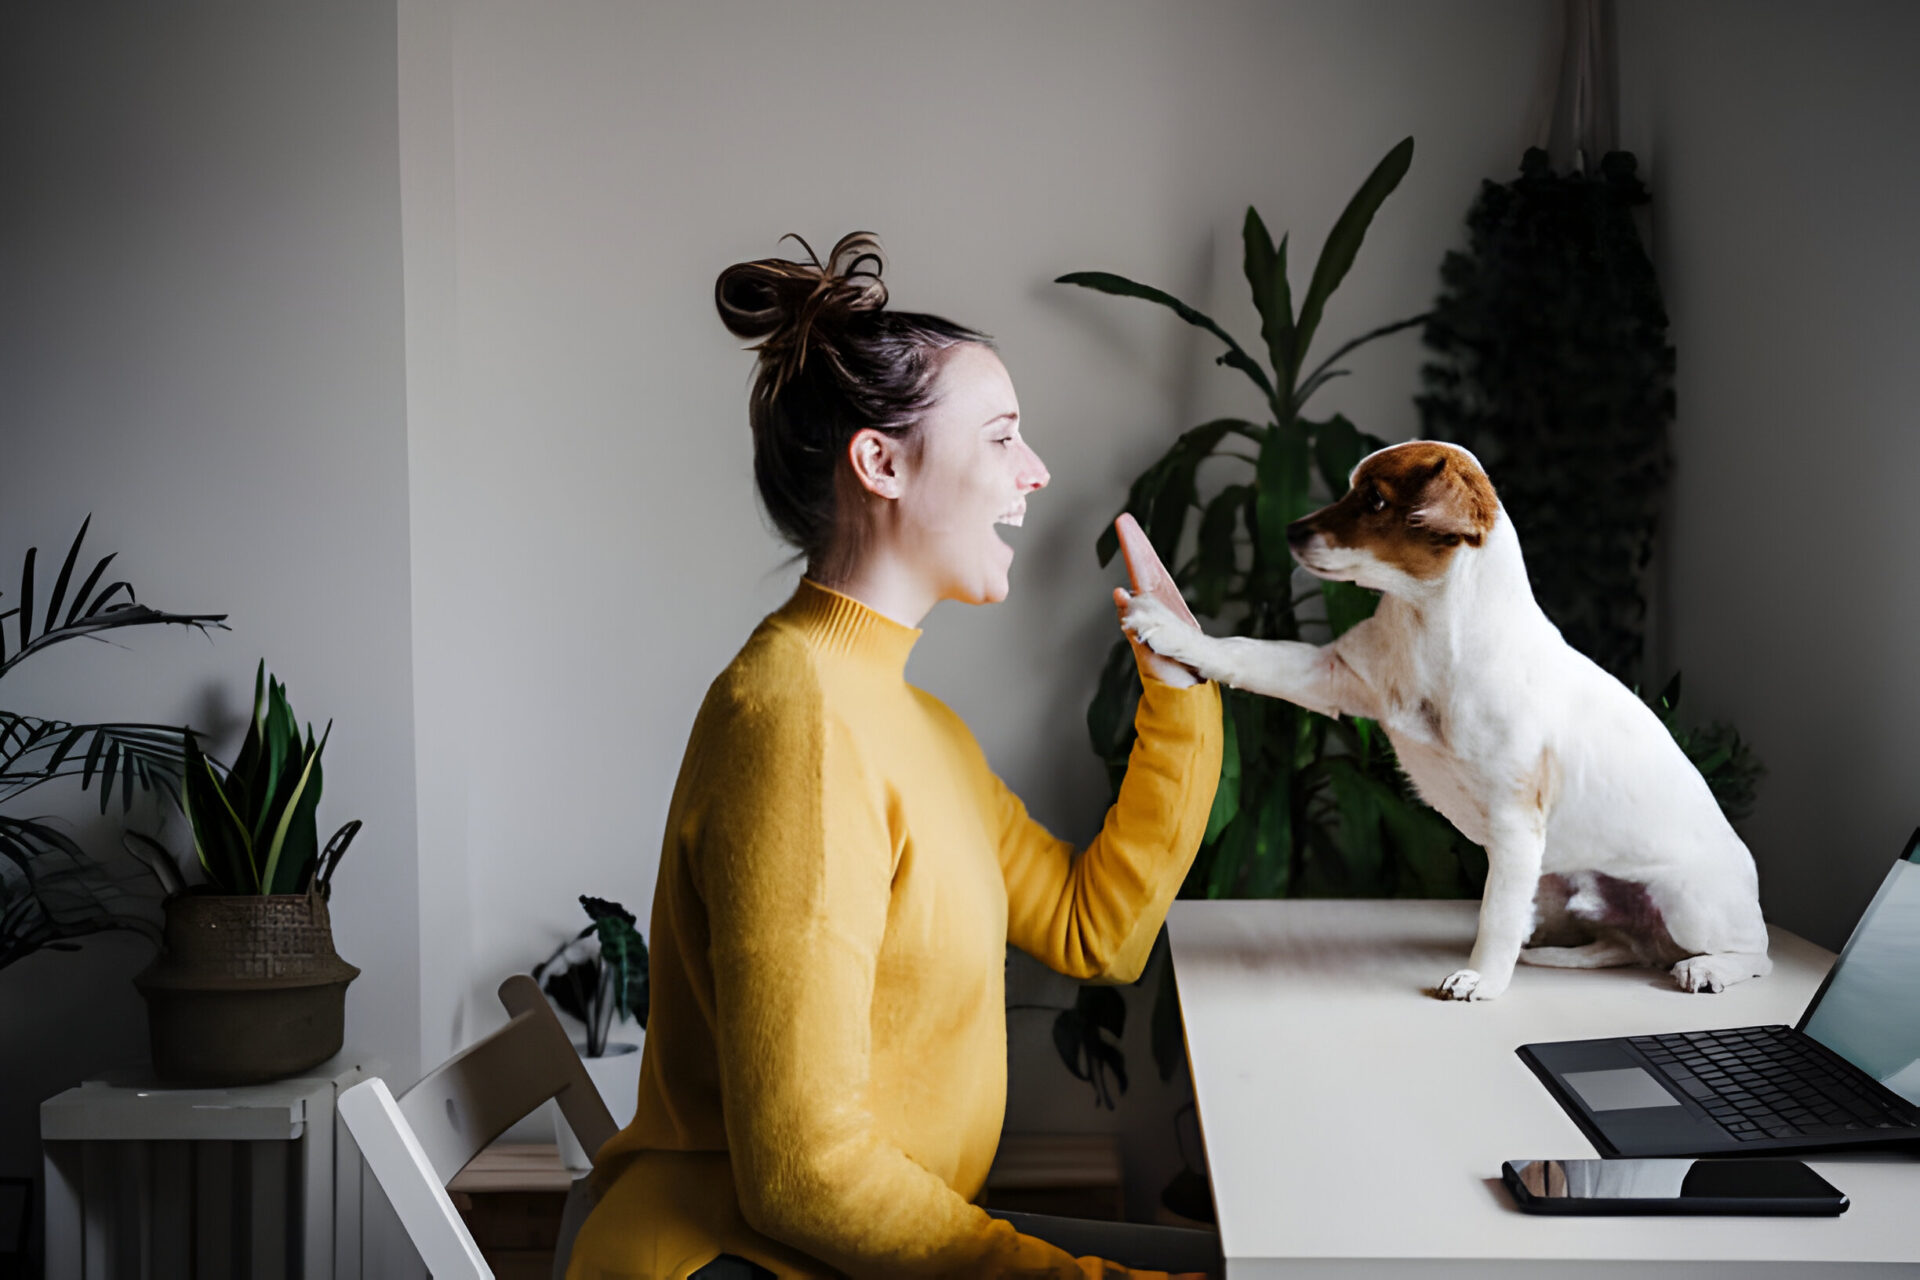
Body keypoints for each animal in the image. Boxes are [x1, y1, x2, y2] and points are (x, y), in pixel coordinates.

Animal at [1121, 445, 1766, 1005]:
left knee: (1751, 956)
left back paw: (1707, 968)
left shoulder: (1514, 826)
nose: (1289, 531)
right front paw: (1172, 631)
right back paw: (1558, 955)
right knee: (1621, 945)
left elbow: (1494, 915)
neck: (1426, 629)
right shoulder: (1332, 676)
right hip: (1558, 883)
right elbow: (1241, 652)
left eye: (1376, 500)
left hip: (1682, 903)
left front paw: (1482, 979)